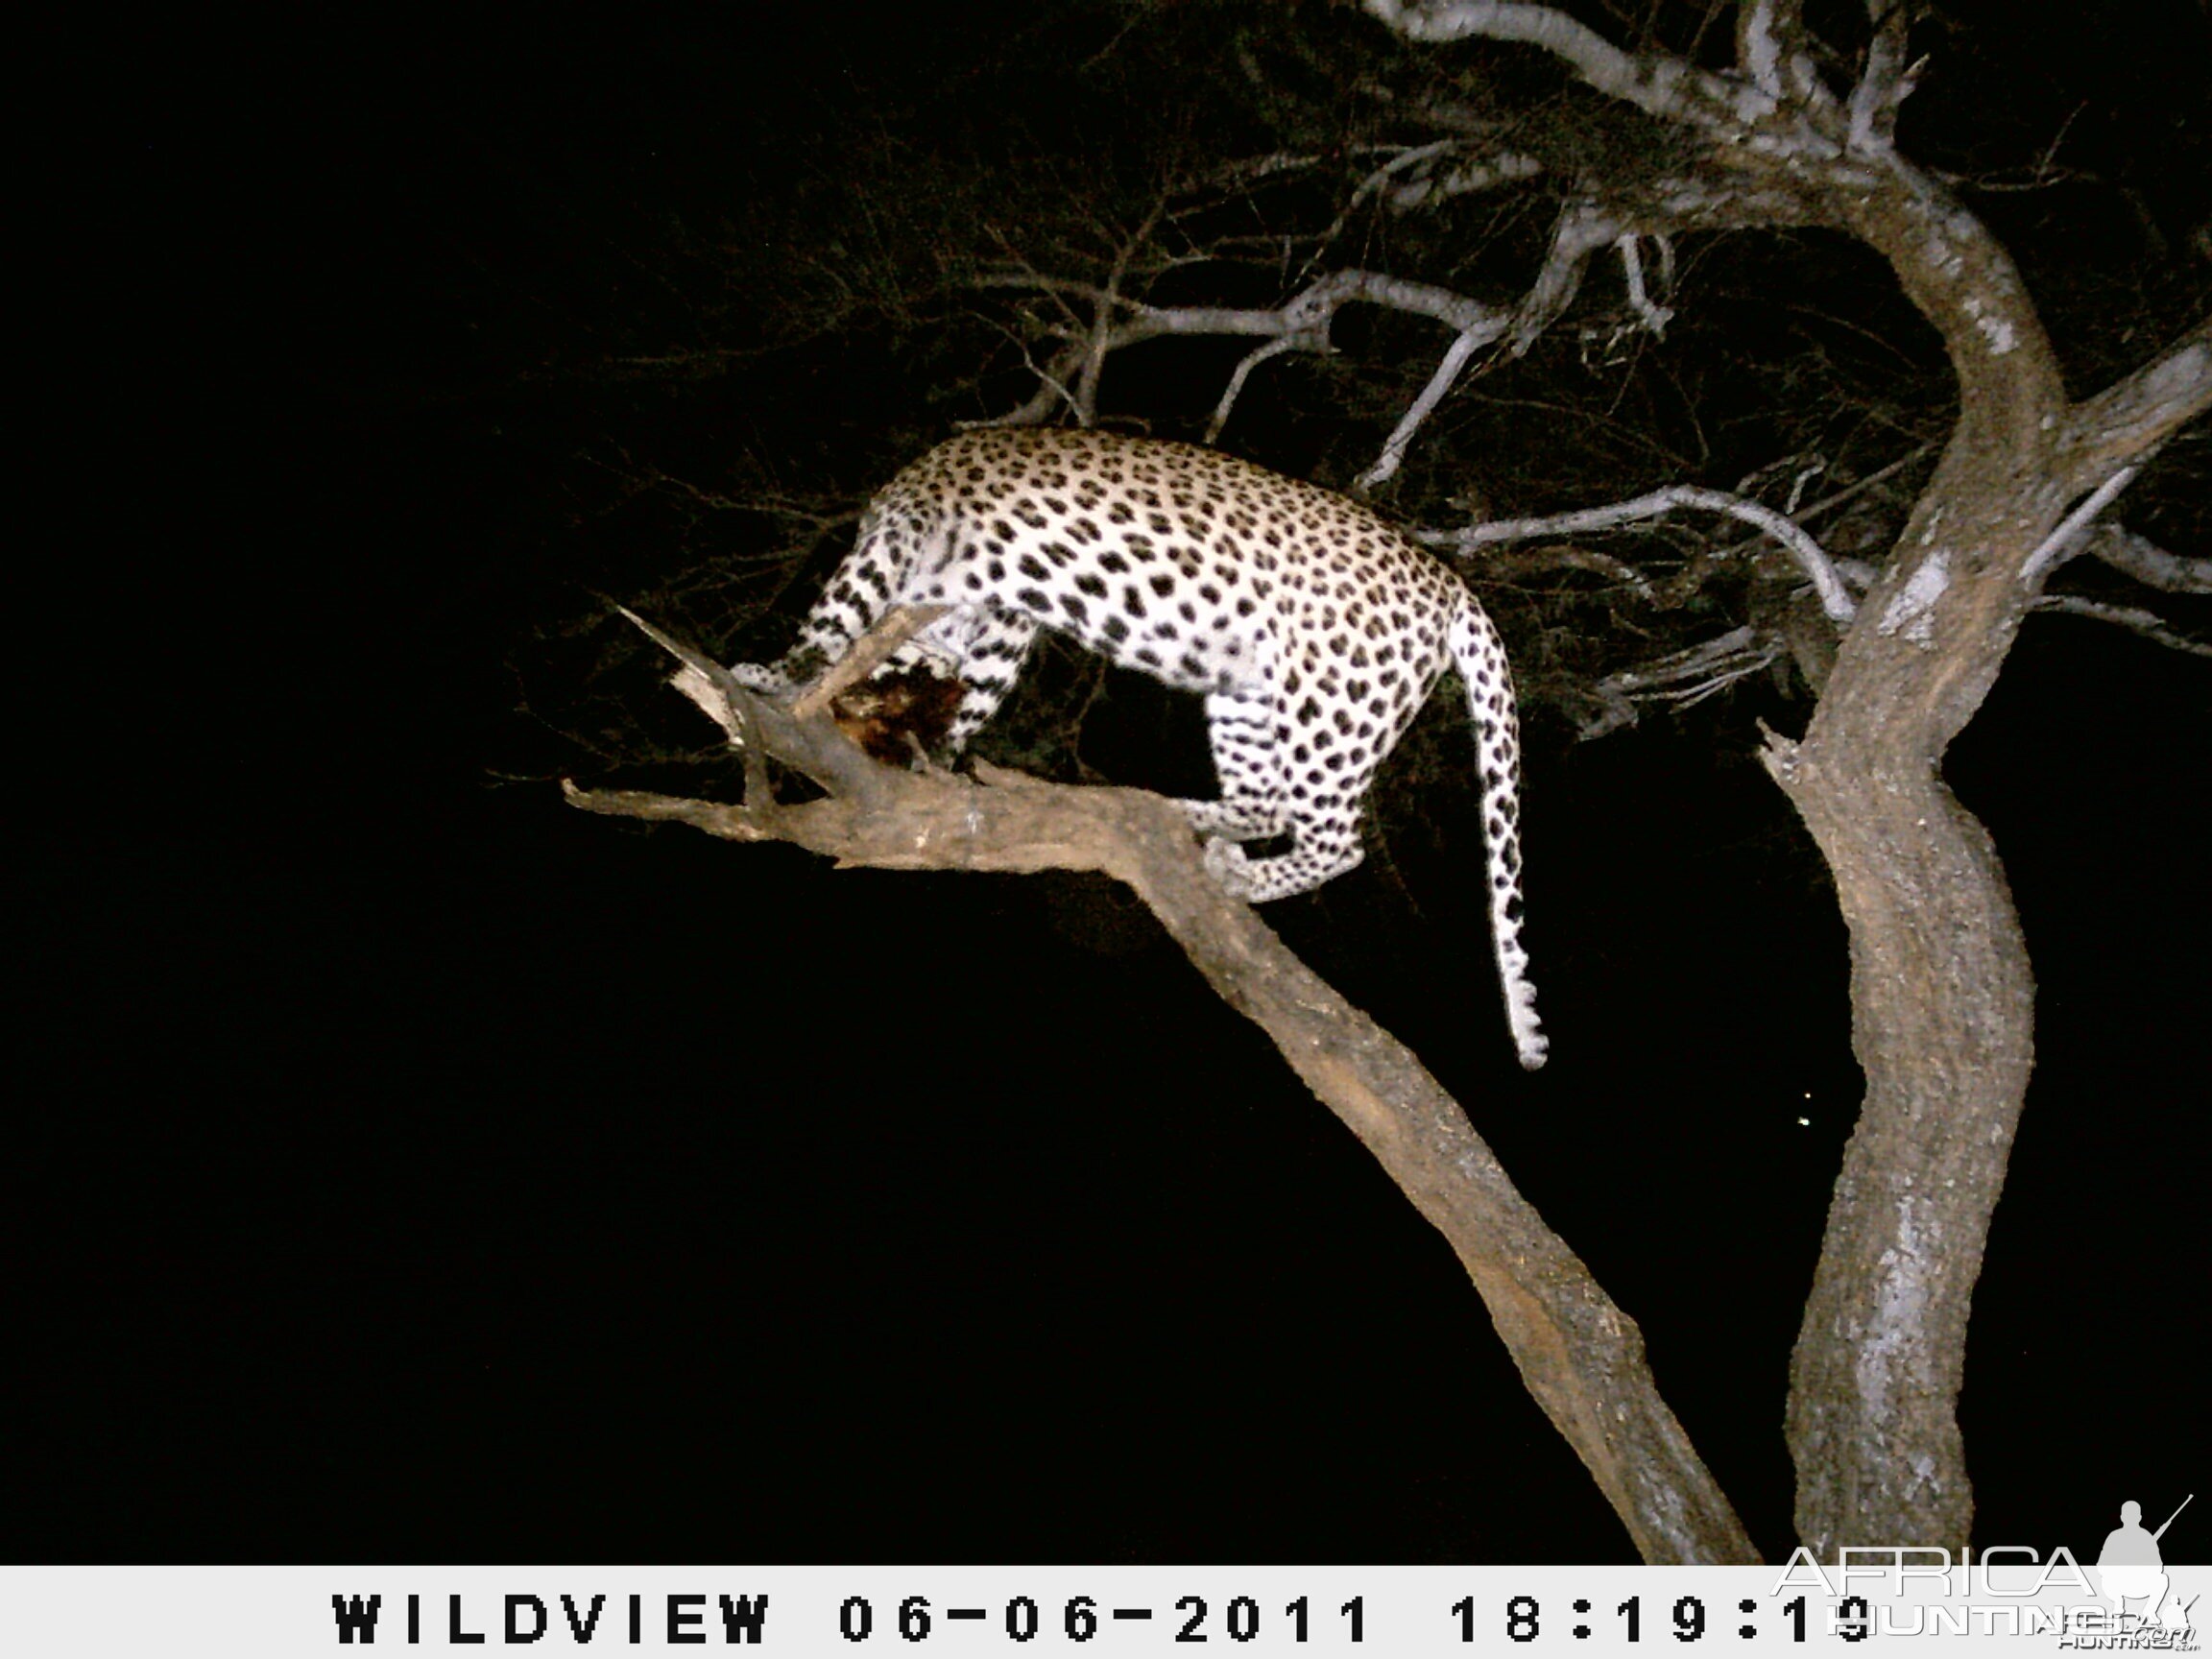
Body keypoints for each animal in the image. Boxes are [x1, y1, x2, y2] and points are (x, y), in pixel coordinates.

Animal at [733, 424, 1548, 1066]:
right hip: (1244, 692)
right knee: (1266, 802)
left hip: (1332, 705)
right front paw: (927, 744)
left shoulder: (903, 548)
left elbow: (833, 623)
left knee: (1338, 840)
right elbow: (957, 677)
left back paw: (1236, 874)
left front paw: (772, 676)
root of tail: (1450, 584)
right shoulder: (989, 619)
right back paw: (1186, 818)